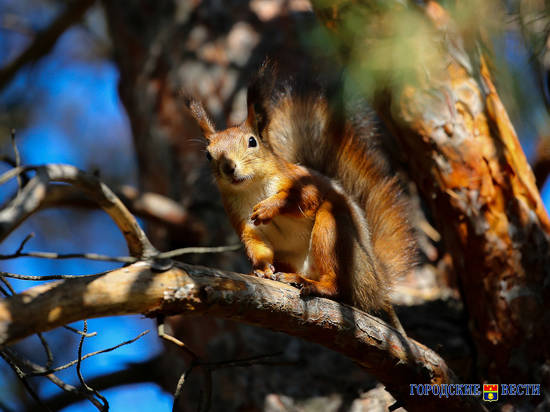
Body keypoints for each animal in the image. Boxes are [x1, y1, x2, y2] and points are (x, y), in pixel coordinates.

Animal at [188, 64, 416, 334]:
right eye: (208, 154)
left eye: (252, 142)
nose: (228, 167)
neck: (252, 188)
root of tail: (377, 286)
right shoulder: (240, 218)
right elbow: (256, 243)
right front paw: (261, 269)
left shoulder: (301, 181)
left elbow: (304, 199)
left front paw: (269, 207)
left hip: (333, 231)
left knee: (337, 285)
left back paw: (310, 283)